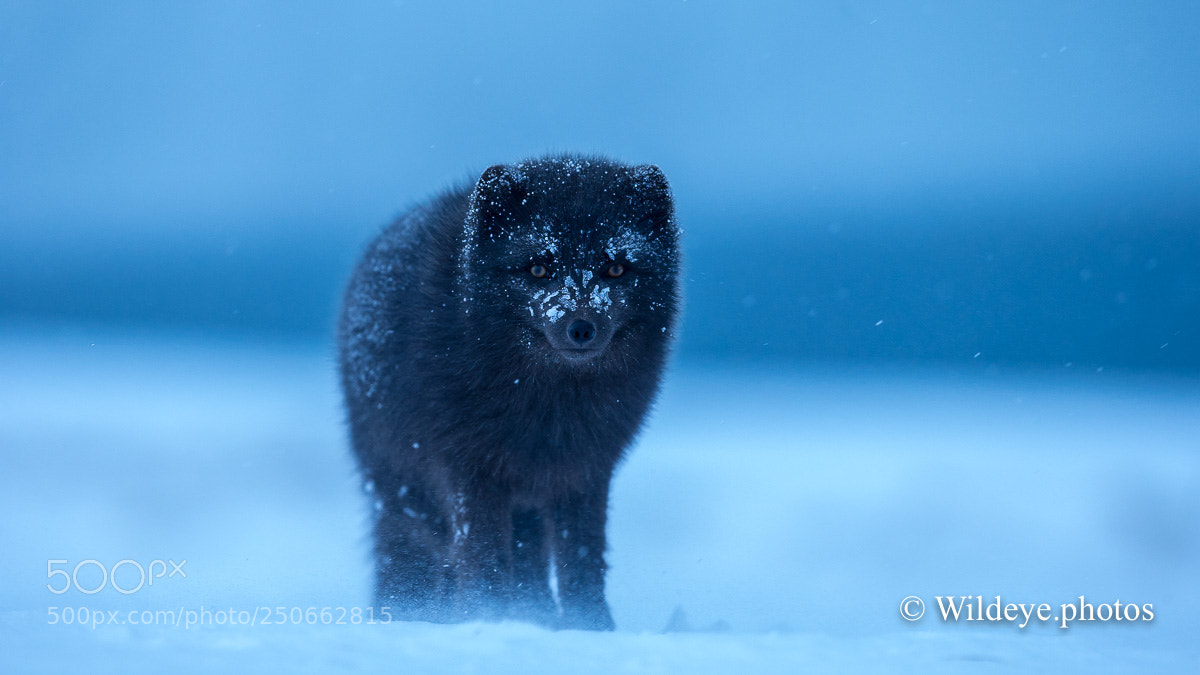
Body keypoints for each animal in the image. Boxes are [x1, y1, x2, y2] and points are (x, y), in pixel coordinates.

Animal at [337, 154, 681, 630]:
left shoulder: (587, 470)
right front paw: (487, 617)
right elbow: (483, 555)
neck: (549, 412)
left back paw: (536, 615)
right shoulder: (469, 469)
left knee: (529, 560)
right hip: (407, 496)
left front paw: (589, 628)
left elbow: (582, 556)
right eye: (537, 268)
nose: (581, 327)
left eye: (615, 269)